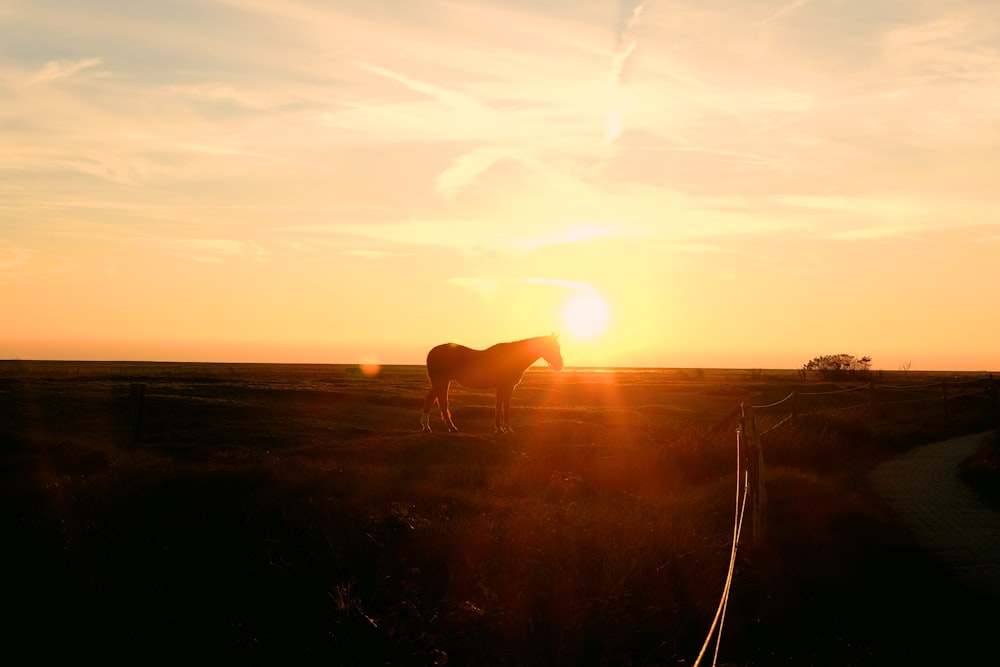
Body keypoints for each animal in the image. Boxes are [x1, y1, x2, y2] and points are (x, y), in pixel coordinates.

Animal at [420, 334, 564, 434]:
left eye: (558, 347)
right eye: (552, 347)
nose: (560, 365)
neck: (512, 357)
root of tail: (432, 352)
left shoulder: (505, 387)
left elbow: (502, 407)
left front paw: (502, 428)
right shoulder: (505, 387)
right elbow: (502, 407)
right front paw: (503, 429)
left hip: (443, 382)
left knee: (438, 400)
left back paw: (444, 427)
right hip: (441, 382)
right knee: (435, 400)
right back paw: (430, 426)